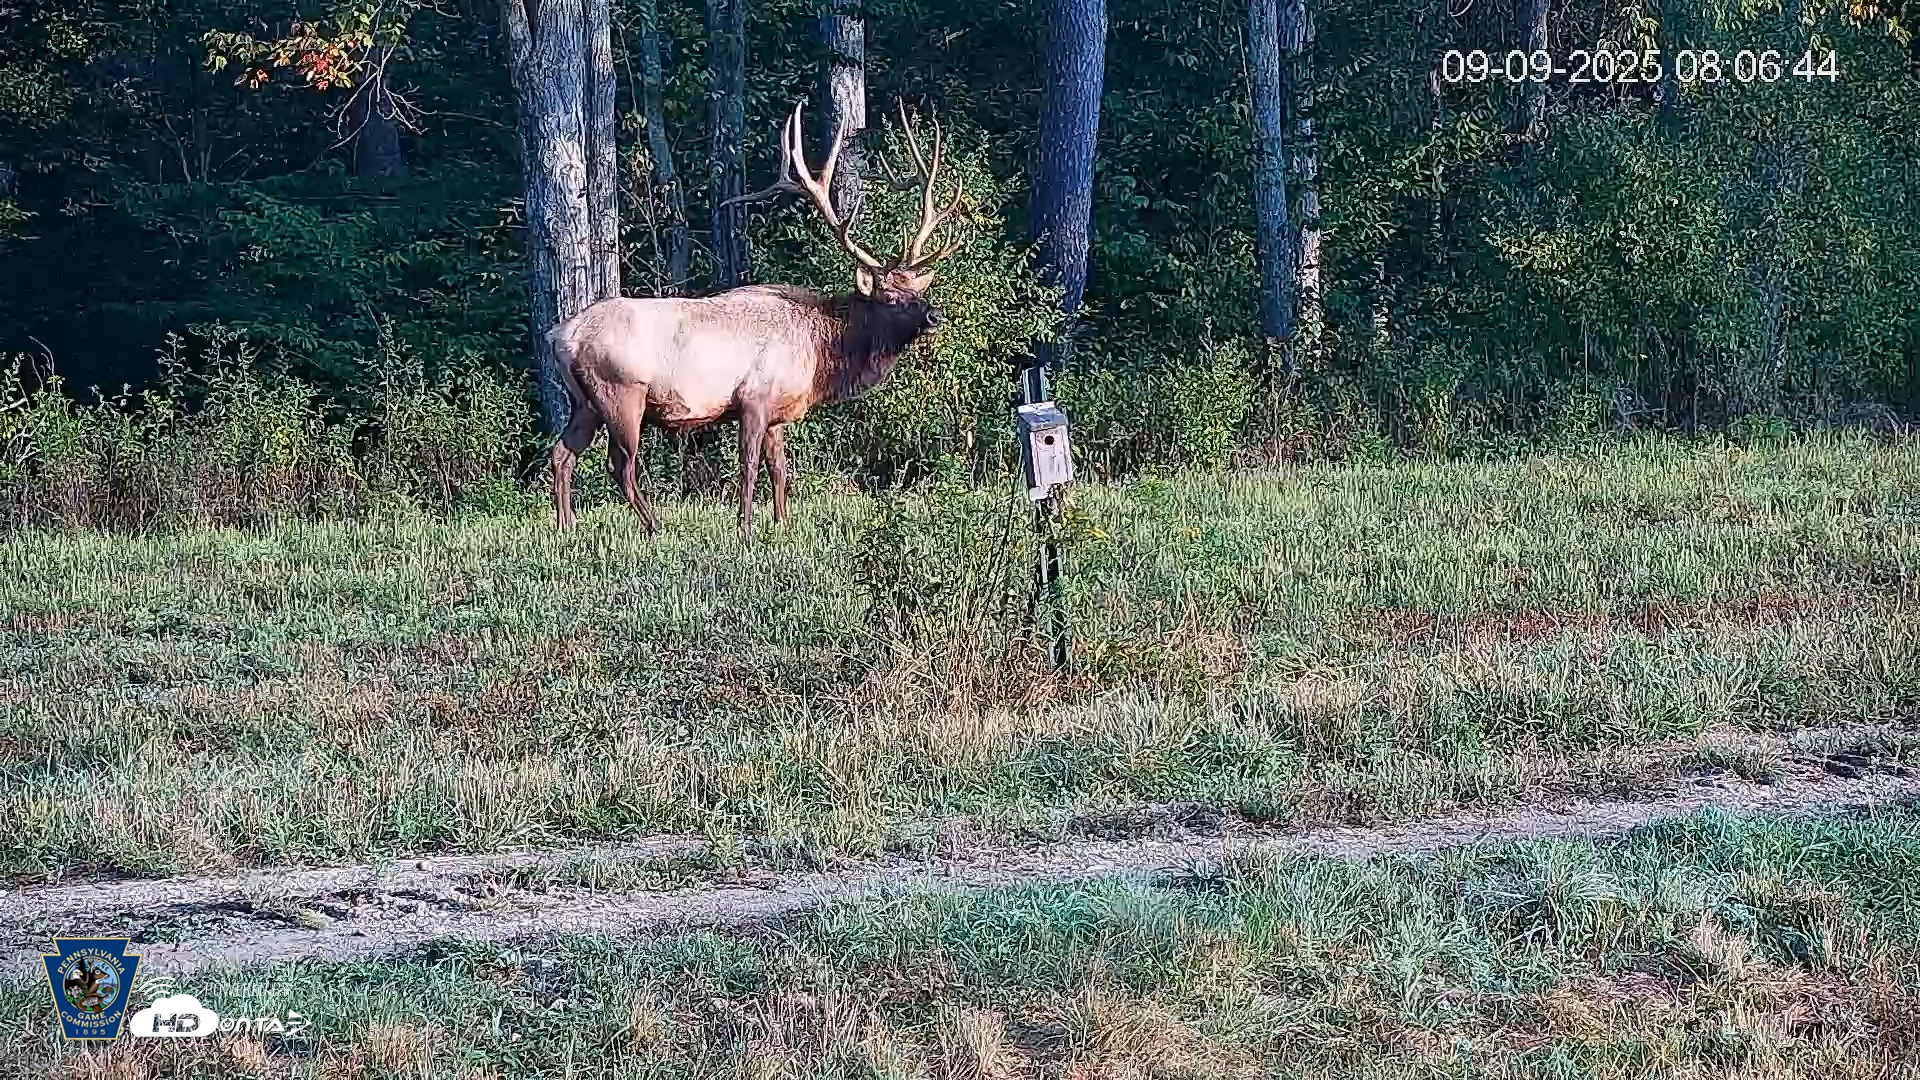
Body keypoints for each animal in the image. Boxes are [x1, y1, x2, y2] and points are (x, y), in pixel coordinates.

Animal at [547, 99, 970, 535]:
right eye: (889, 296)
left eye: (916, 289)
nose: (934, 315)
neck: (820, 355)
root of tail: (560, 336)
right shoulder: (753, 397)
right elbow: (749, 465)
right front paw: (745, 527)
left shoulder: (778, 412)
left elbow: (779, 468)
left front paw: (782, 523)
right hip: (621, 393)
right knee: (621, 465)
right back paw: (654, 526)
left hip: (585, 402)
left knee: (561, 454)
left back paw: (567, 527)